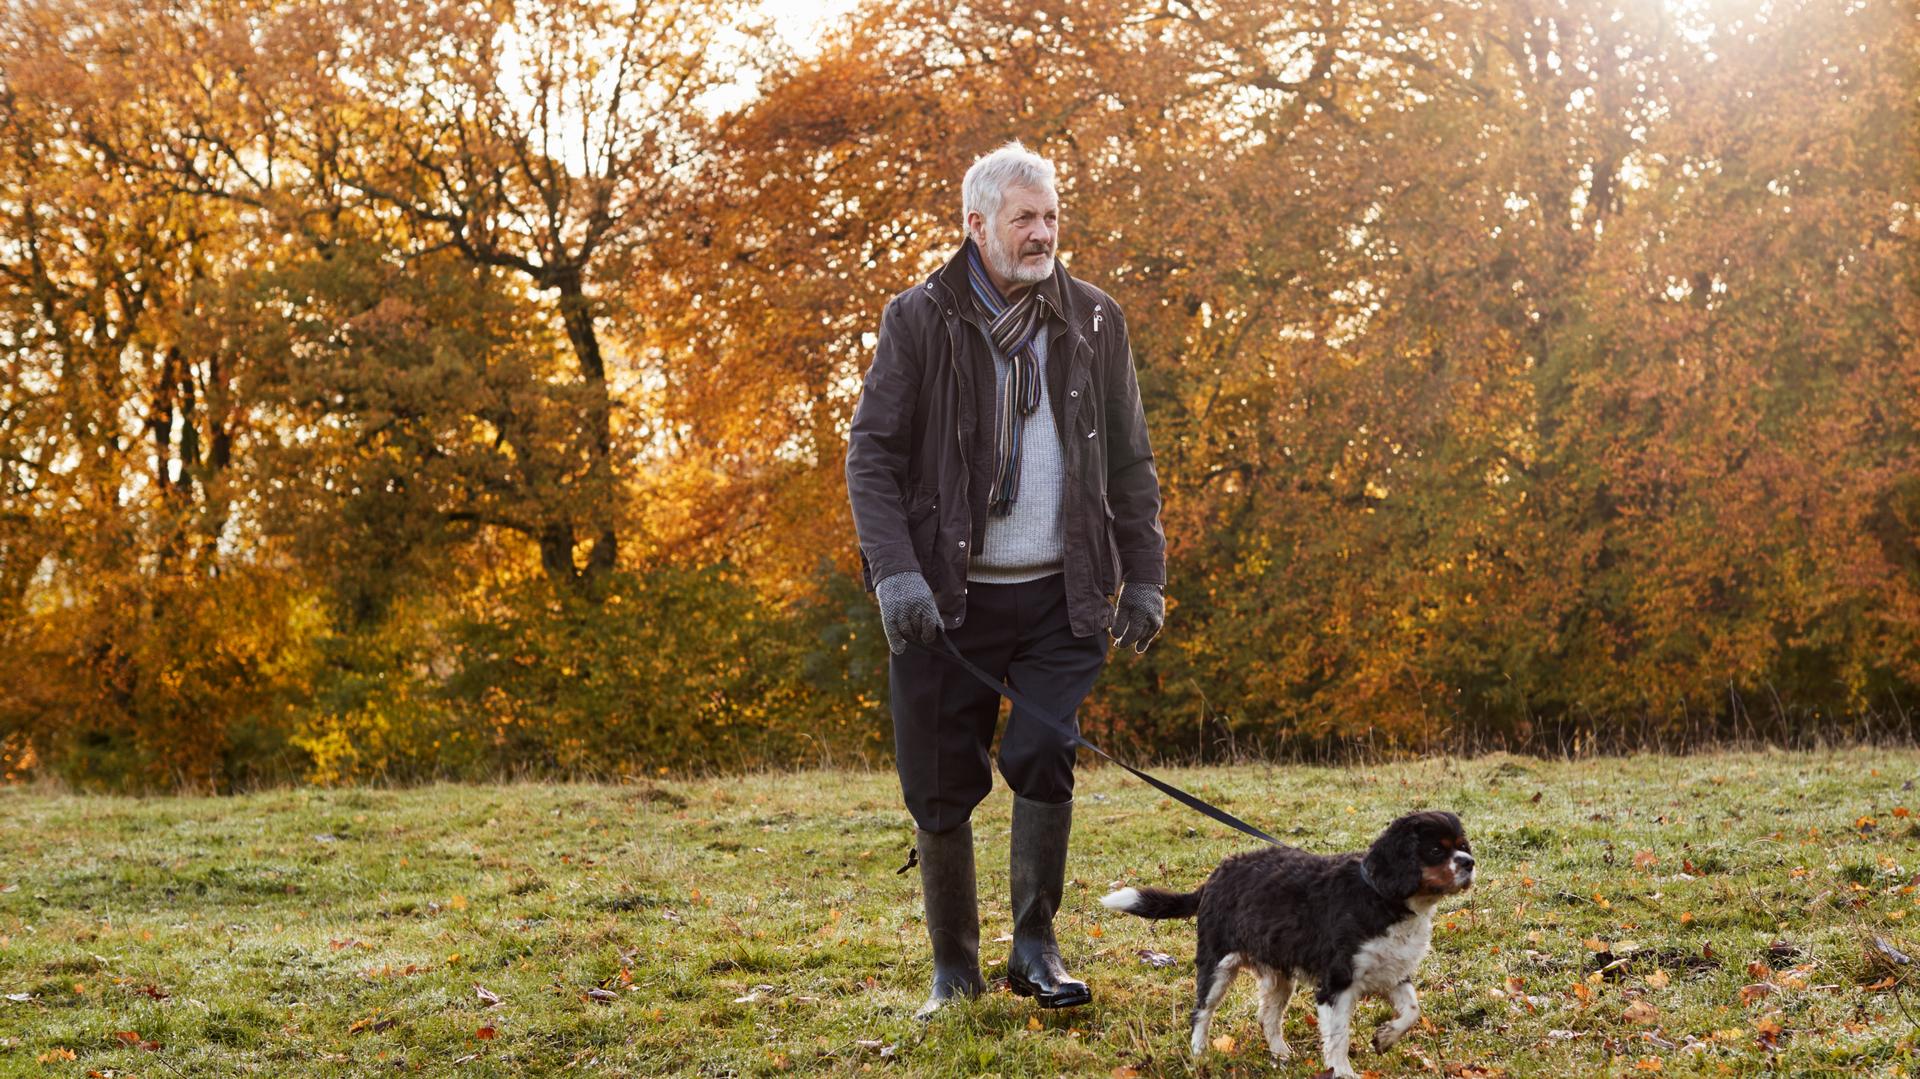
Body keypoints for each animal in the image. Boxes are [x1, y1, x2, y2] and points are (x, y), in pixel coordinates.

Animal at [1105, 806, 1474, 1075]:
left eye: (1461, 846)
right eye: (1435, 850)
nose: (1470, 863)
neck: (1381, 897)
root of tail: (1215, 875)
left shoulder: (1394, 973)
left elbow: (1412, 1010)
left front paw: (1384, 1038)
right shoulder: (1336, 984)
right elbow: (1338, 1038)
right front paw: (1343, 1072)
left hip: (1278, 975)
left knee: (1267, 1016)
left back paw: (1281, 1054)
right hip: (1216, 965)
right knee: (1201, 1012)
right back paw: (1199, 1055)